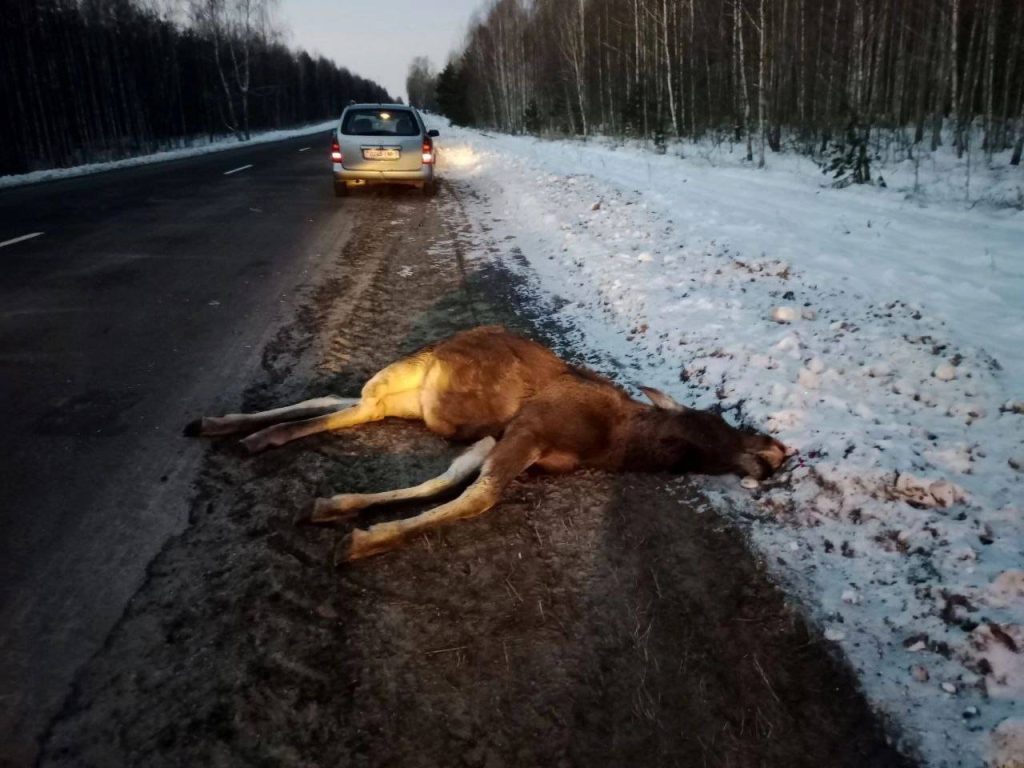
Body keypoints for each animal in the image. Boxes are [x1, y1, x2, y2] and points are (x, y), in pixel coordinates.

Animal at [184, 325, 788, 562]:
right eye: (715, 419)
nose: (780, 450)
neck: (619, 445)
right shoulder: (529, 427)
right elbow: (476, 497)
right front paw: (366, 538)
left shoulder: (503, 436)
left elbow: (447, 480)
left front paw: (339, 509)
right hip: (404, 375)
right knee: (355, 403)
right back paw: (253, 430)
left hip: (413, 400)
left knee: (336, 397)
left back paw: (236, 429)